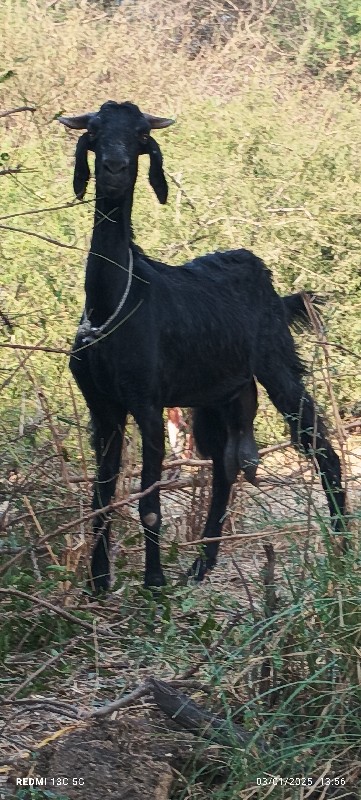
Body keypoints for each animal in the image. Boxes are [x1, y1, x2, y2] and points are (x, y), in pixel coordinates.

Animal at [59, 100, 346, 592]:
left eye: (140, 137)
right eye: (94, 133)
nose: (114, 169)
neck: (113, 300)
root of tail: (273, 288)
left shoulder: (148, 402)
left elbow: (149, 501)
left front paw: (154, 580)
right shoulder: (104, 408)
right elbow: (101, 493)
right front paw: (98, 581)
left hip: (276, 365)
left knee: (318, 444)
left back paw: (343, 544)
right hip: (219, 395)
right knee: (225, 465)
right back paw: (201, 564)